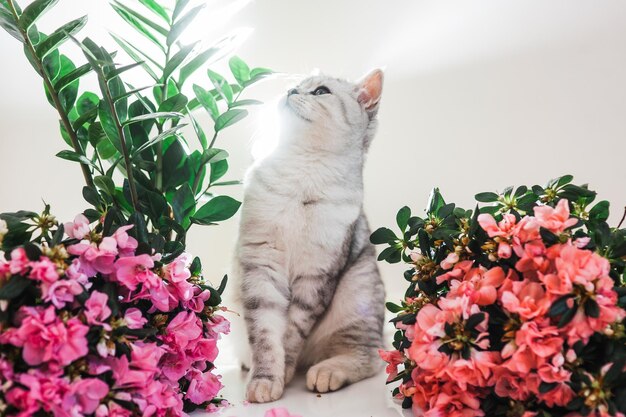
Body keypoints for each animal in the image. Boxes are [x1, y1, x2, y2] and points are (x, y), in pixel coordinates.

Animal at [230, 69, 382, 404]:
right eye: (296, 86)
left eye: (321, 91)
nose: (290, 91)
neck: (303, 175)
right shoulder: (261, 265)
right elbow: (265, 335)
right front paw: (265, 379)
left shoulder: (316, 276)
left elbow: (291, 335)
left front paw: (282, 372)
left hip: (359, 294)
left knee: (369, 356)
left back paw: (327, 372)